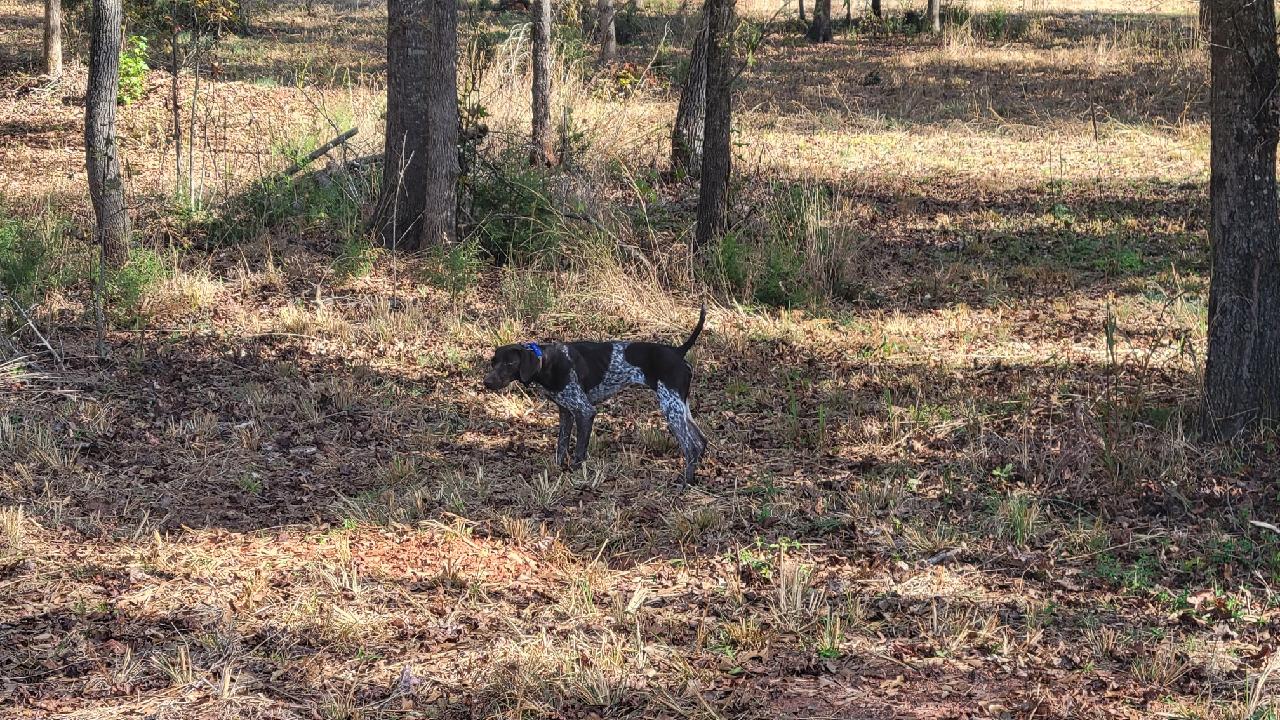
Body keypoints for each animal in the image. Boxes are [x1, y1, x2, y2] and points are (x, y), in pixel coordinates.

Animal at [483, 303, 711, 479]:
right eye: (493, 362)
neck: (546, 361)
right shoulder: (566, 412)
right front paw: (557, 471)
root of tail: (678, 351)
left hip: (671, 407)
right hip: (679, 405)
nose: (486, 382)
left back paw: (684, 483)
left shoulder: (584, 411)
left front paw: (575, 474)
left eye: (510, 363)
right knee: (701, 441)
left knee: (691, 446)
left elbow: (579, 450)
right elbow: (561, 447)